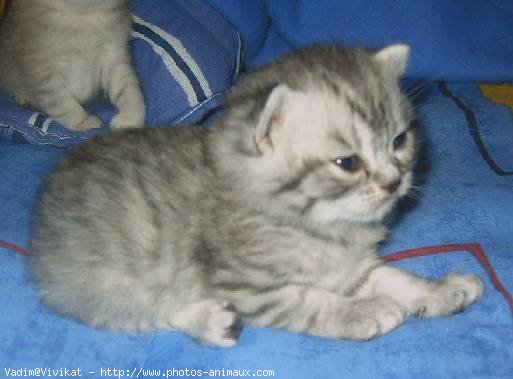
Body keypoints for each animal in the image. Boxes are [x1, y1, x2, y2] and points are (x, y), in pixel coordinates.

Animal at [0, 0, 144, 131]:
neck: (82, 15)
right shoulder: (44, 70)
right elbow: (63, 102)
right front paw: (82, 121)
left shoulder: (113, 56)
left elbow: (128, 89)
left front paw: (131, 116)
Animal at [30, 44, 482, 348]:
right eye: (348, 163)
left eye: (400, 141)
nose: (394, 181)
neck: (320, 223)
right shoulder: (248, 286)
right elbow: (310, 300)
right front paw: (363, 310)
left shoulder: (350, 266)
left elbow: (391, 276)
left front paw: (439, 291)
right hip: (106, 281)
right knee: (140, 311)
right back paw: (209, 322)